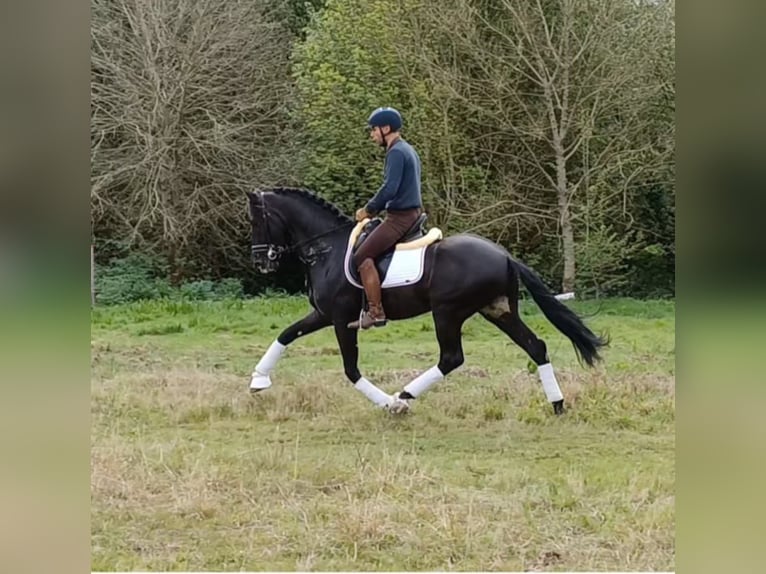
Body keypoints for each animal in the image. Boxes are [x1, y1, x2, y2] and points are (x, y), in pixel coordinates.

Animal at [249, 187, 608, 416]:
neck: (328, 248)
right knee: (536, 346)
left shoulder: (340, 318)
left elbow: (351, 369)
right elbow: (285, 335)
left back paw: (404, 396)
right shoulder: (323, 314)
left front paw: (389, 404)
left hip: (448, 312)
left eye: (257, 221)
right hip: (497, 310)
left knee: (451, 358)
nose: (261, 262)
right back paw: (557, 404)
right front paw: (258, 380)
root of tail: (505, 256)